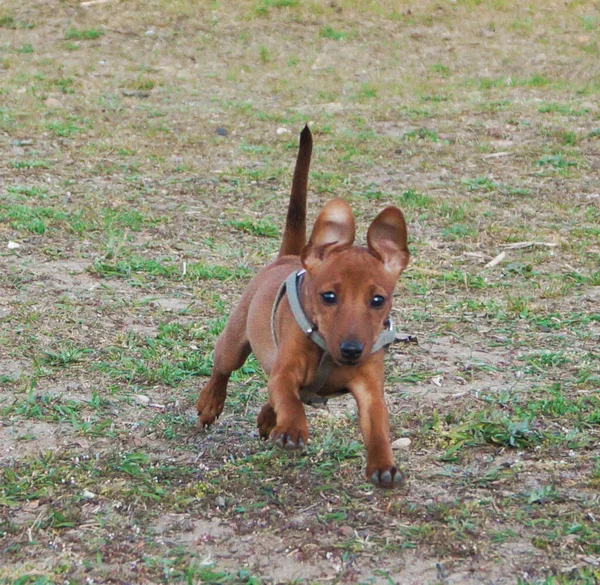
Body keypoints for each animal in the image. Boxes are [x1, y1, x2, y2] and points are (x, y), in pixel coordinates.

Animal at [196, 128, 408, 488]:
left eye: (378, 300)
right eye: (328, 297)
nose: (352, 350)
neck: (328, 354)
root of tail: (290, 255)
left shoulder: (370, 390)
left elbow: (378, 426)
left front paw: (384, 465)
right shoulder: (286, 371)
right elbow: (288, 398)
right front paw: (293, 429)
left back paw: (268, 419)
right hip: (234, 342)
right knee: (223, 369)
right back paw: (211, 403)